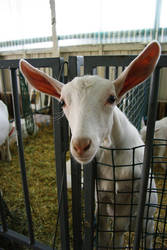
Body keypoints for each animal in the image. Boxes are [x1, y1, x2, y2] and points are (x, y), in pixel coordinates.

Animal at [19, 40, 160, 248]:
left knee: (148, 234)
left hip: (149, 212)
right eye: (62, 102)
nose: (81, 145)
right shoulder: (101, 198)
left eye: (112, 98)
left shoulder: (130, 199)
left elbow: (119, 232)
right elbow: (105, 234)